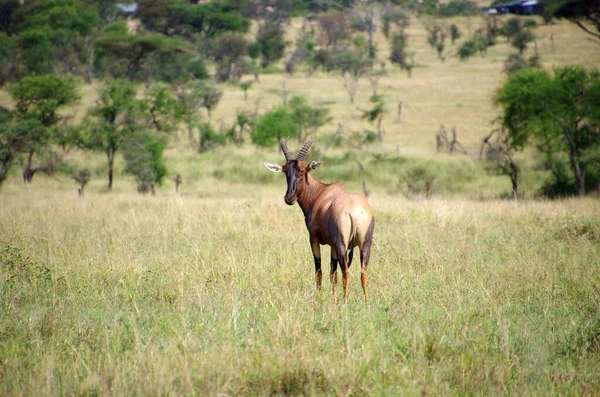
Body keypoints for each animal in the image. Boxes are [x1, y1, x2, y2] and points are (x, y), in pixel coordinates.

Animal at [264, 138, 372, 300]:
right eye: (286, 172)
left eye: (302, 171)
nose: (289, 198)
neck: (321, 193)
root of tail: (355, 211)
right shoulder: (332, 245)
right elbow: (332, 273)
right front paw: (333, 298)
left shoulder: (314, 239)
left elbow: (319, 270)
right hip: (365, 245)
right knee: (363, 272)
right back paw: (365, 301)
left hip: (342, 245)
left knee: (346, 272)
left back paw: (345, 300)